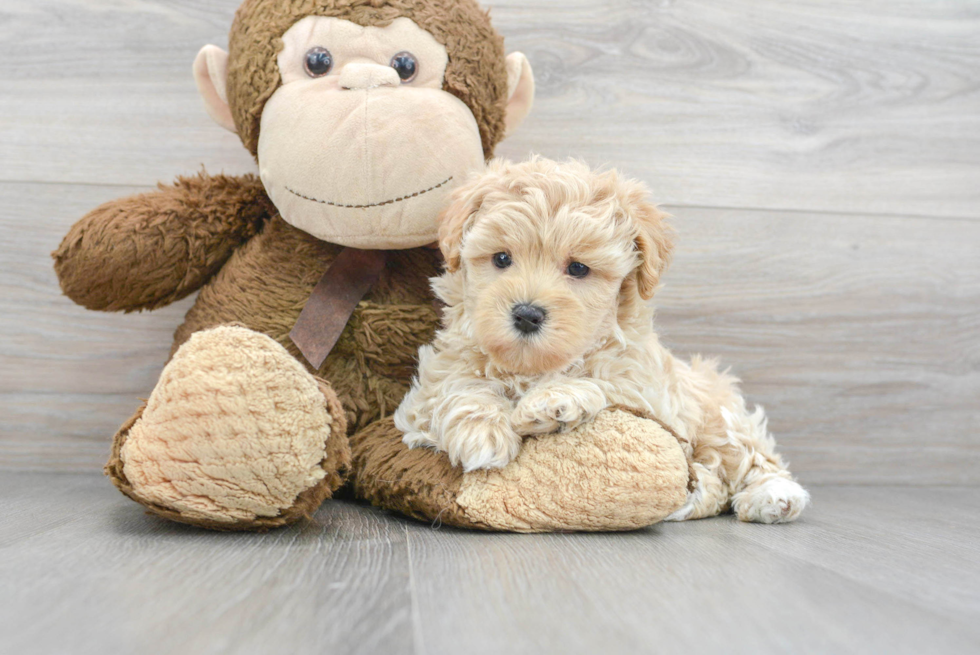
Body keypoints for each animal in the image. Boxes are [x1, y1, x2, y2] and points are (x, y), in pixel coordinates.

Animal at [394, 158, 808, 524]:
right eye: (501, 259)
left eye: (578, 268)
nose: (526, 314)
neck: (531, 366)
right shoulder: (426, 393)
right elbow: (456, 387)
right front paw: (482, 431)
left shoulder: (643, 390)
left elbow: (600, 383)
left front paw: (552, 401)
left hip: (717, 413)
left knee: (750, 457)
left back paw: (774, 496)